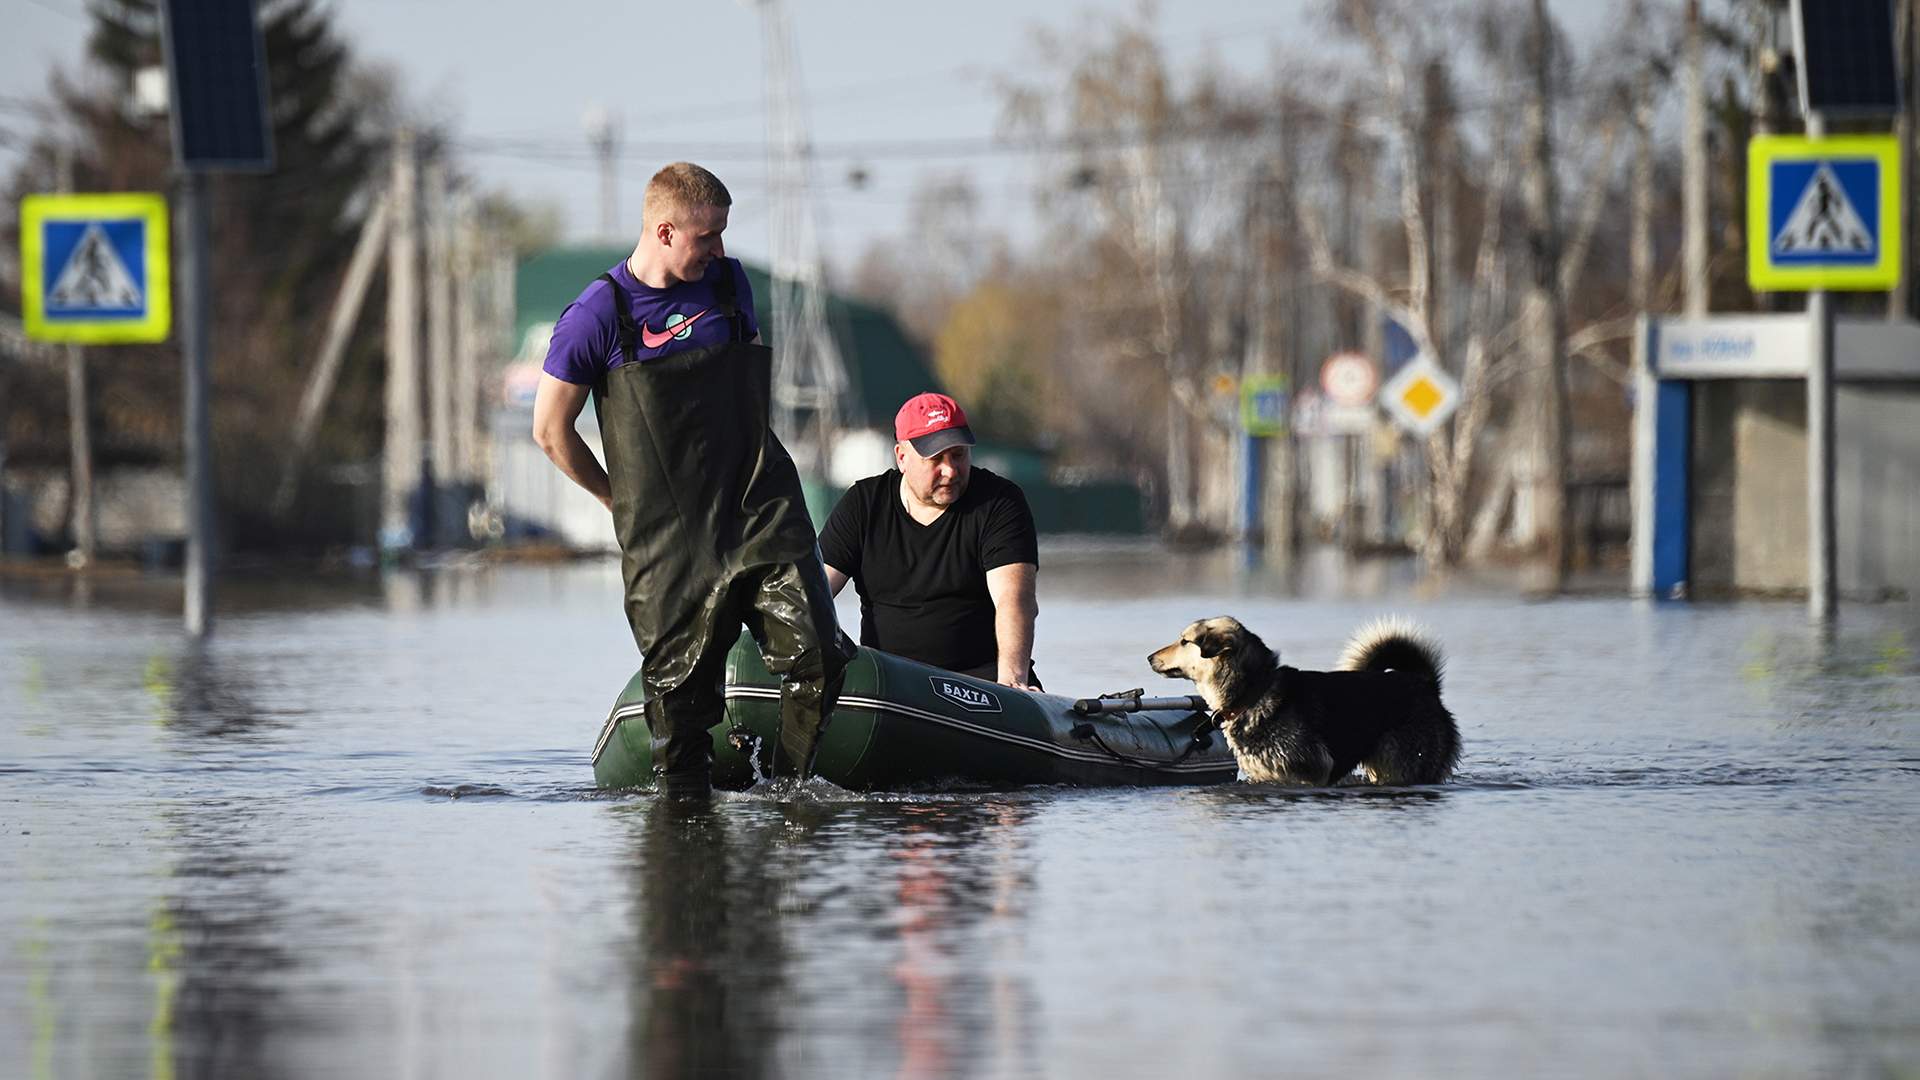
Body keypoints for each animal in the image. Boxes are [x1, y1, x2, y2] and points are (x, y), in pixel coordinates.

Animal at [1144, 614, 1459, 780]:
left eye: (1184, 641)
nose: (1149, 657)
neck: (1254, 692)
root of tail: (1424, 683)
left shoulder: (1307, 774)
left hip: (1404, 765)